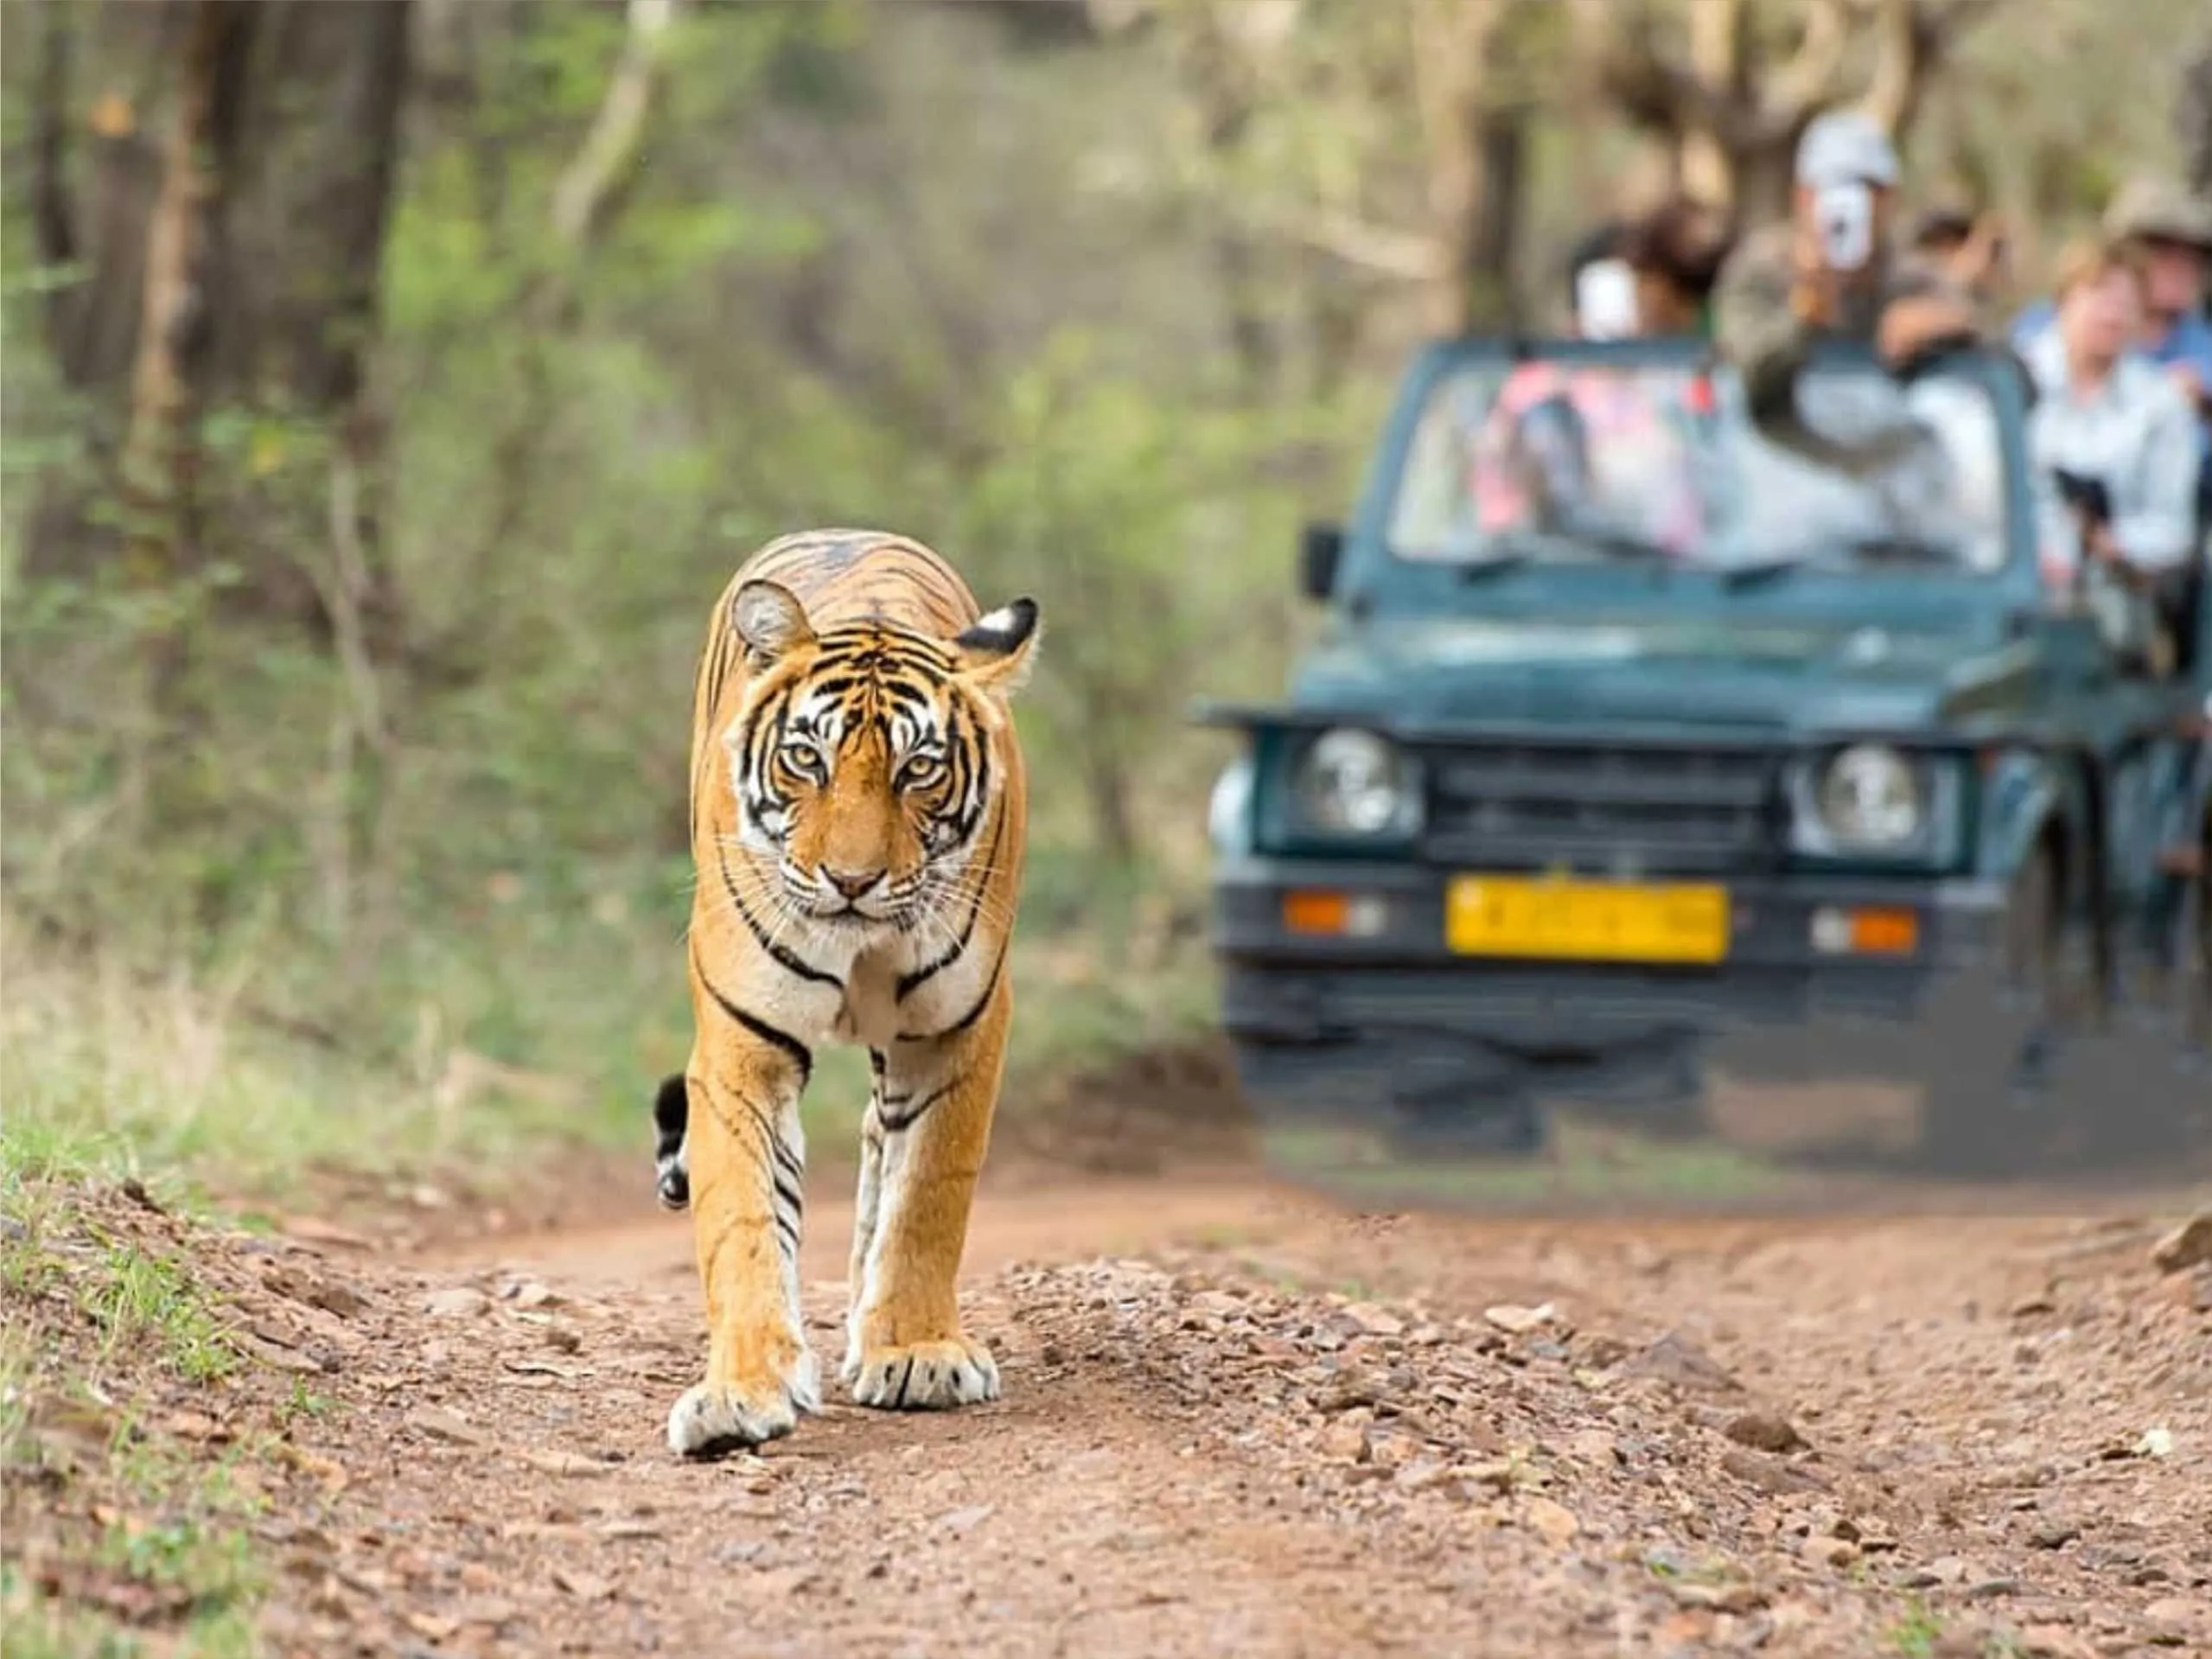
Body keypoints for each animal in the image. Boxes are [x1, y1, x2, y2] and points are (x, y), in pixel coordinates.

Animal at [646, 526, 1043, 1459]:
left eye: (918, 769)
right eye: (807, 758)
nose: (852, 881)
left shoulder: (957, 1032)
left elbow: (928, 1193)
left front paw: (915, 1351)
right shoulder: (741, 1045)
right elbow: (745, 1218)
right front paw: (741, 1391)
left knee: (878, 1145)